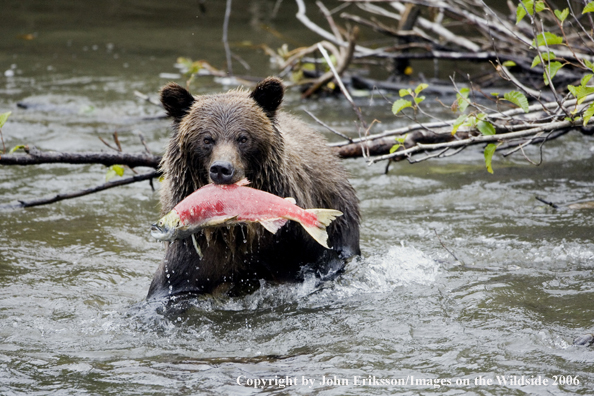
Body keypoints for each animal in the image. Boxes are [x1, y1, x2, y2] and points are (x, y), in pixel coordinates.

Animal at [147, 77, 360, 300]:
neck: (237, 232)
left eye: (243, 138)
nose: (222, 168)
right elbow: (172, 285)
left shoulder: (291, 245)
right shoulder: (194, 254)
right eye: (206, 139)